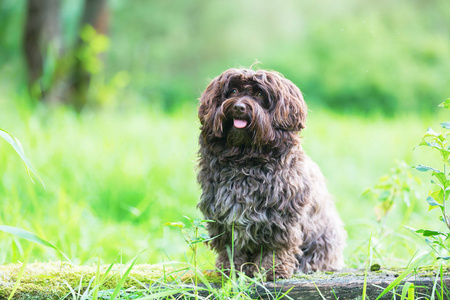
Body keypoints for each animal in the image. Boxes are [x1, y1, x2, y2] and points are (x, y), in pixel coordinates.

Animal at [196, 68, 344, 278]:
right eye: (232, 91)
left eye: (259, 94)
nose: (239, 107)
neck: (246, 159)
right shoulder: (222, 213)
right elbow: (231, 247)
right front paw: (230, 269)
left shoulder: (281, 217)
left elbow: (276, 247)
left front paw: (271, 270)